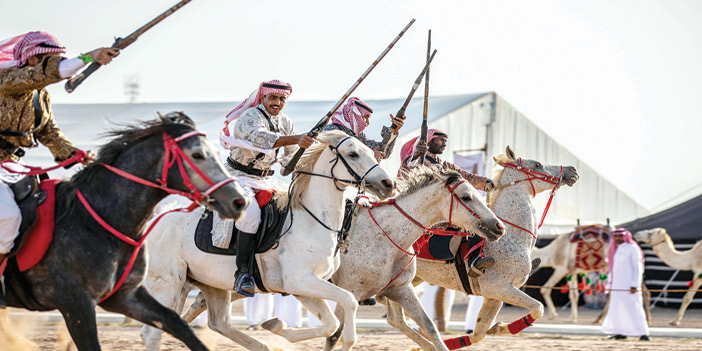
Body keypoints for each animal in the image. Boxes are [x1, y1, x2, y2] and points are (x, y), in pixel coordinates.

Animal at [142, 131, 396, 350]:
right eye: (353, 154)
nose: (388, 184)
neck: (312, 219)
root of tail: (156, 221)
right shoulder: (300, 280)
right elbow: (349, 301)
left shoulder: (301, 287)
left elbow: (330, 323)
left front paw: (277, 327)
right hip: (168, 284)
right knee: (152, 333)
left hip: (212, 285)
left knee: (219, 323)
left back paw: (262, 345)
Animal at [388, 146, 580, 350]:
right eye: (537, 164)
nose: (572, 170)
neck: (512, 235)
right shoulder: (498, 288)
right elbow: (538, 308)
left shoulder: (494, 296)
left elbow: (479, 332)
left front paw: (497, 328)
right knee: (396, 319)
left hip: (409, 281)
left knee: (396, 318)